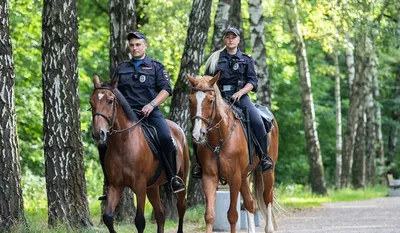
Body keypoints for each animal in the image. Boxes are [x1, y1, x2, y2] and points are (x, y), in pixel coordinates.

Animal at [90, 75, 190, 233]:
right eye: (91, 101)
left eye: (110, 101)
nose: (98, 133)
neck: (123, 144)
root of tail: (178, 129)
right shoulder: (115, 186)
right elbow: (108, 218)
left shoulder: (140, 186)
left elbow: (139, 221)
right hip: (152, 187)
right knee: (160, 213)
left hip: (181, 179)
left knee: (181, 207)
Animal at [187, 72, 278, 232]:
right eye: (190, 100)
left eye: (211, 100)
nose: (198, 134)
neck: (219, 139)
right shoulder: (209, 177)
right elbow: (209, 215)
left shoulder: (234, 177)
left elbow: (232, 215)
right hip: (244, 176)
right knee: (250, 202)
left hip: (267, 172)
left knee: (267, 197)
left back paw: (269, 228)